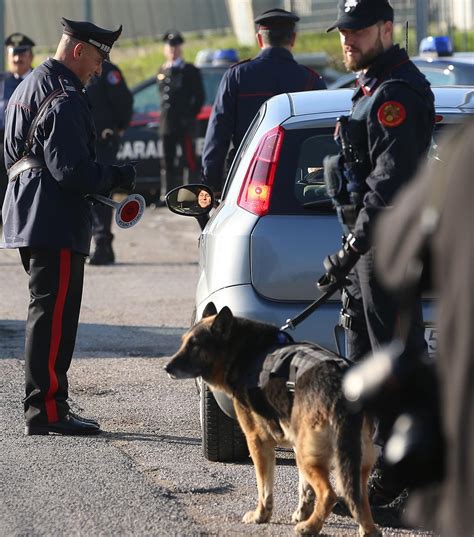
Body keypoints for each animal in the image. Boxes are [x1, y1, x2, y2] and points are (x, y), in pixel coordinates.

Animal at [167, 306, 382, 536]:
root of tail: (339, 384)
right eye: (183, 342)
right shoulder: (296, 443)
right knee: (359, 497)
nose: (166, 368)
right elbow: (304, 487)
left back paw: (311, 526)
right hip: (347, 459)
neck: (244, 352)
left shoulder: (257, 441)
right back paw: (367, 529)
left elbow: (264, 487)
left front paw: (261, 516)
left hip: (310, 456)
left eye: (194, 345)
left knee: (329, 494)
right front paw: (301, 512)